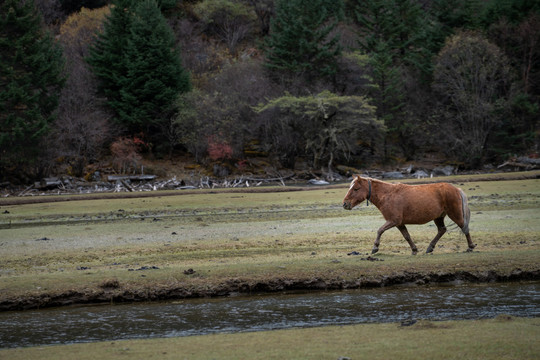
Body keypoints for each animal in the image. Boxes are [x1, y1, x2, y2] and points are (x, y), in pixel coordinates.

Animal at [344, 176, 474, 255]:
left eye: (356, 189)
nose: (345, 204)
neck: (387, 195)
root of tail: (456, 189)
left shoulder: (393, 221)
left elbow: (380, 230)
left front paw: (375, 248)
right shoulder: (399, 224)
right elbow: (407, 236)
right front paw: (414, 249)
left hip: (455, 214)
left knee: (464, 228)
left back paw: (471, 247)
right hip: (438, 217)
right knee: (442, 230)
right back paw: (430, 247)